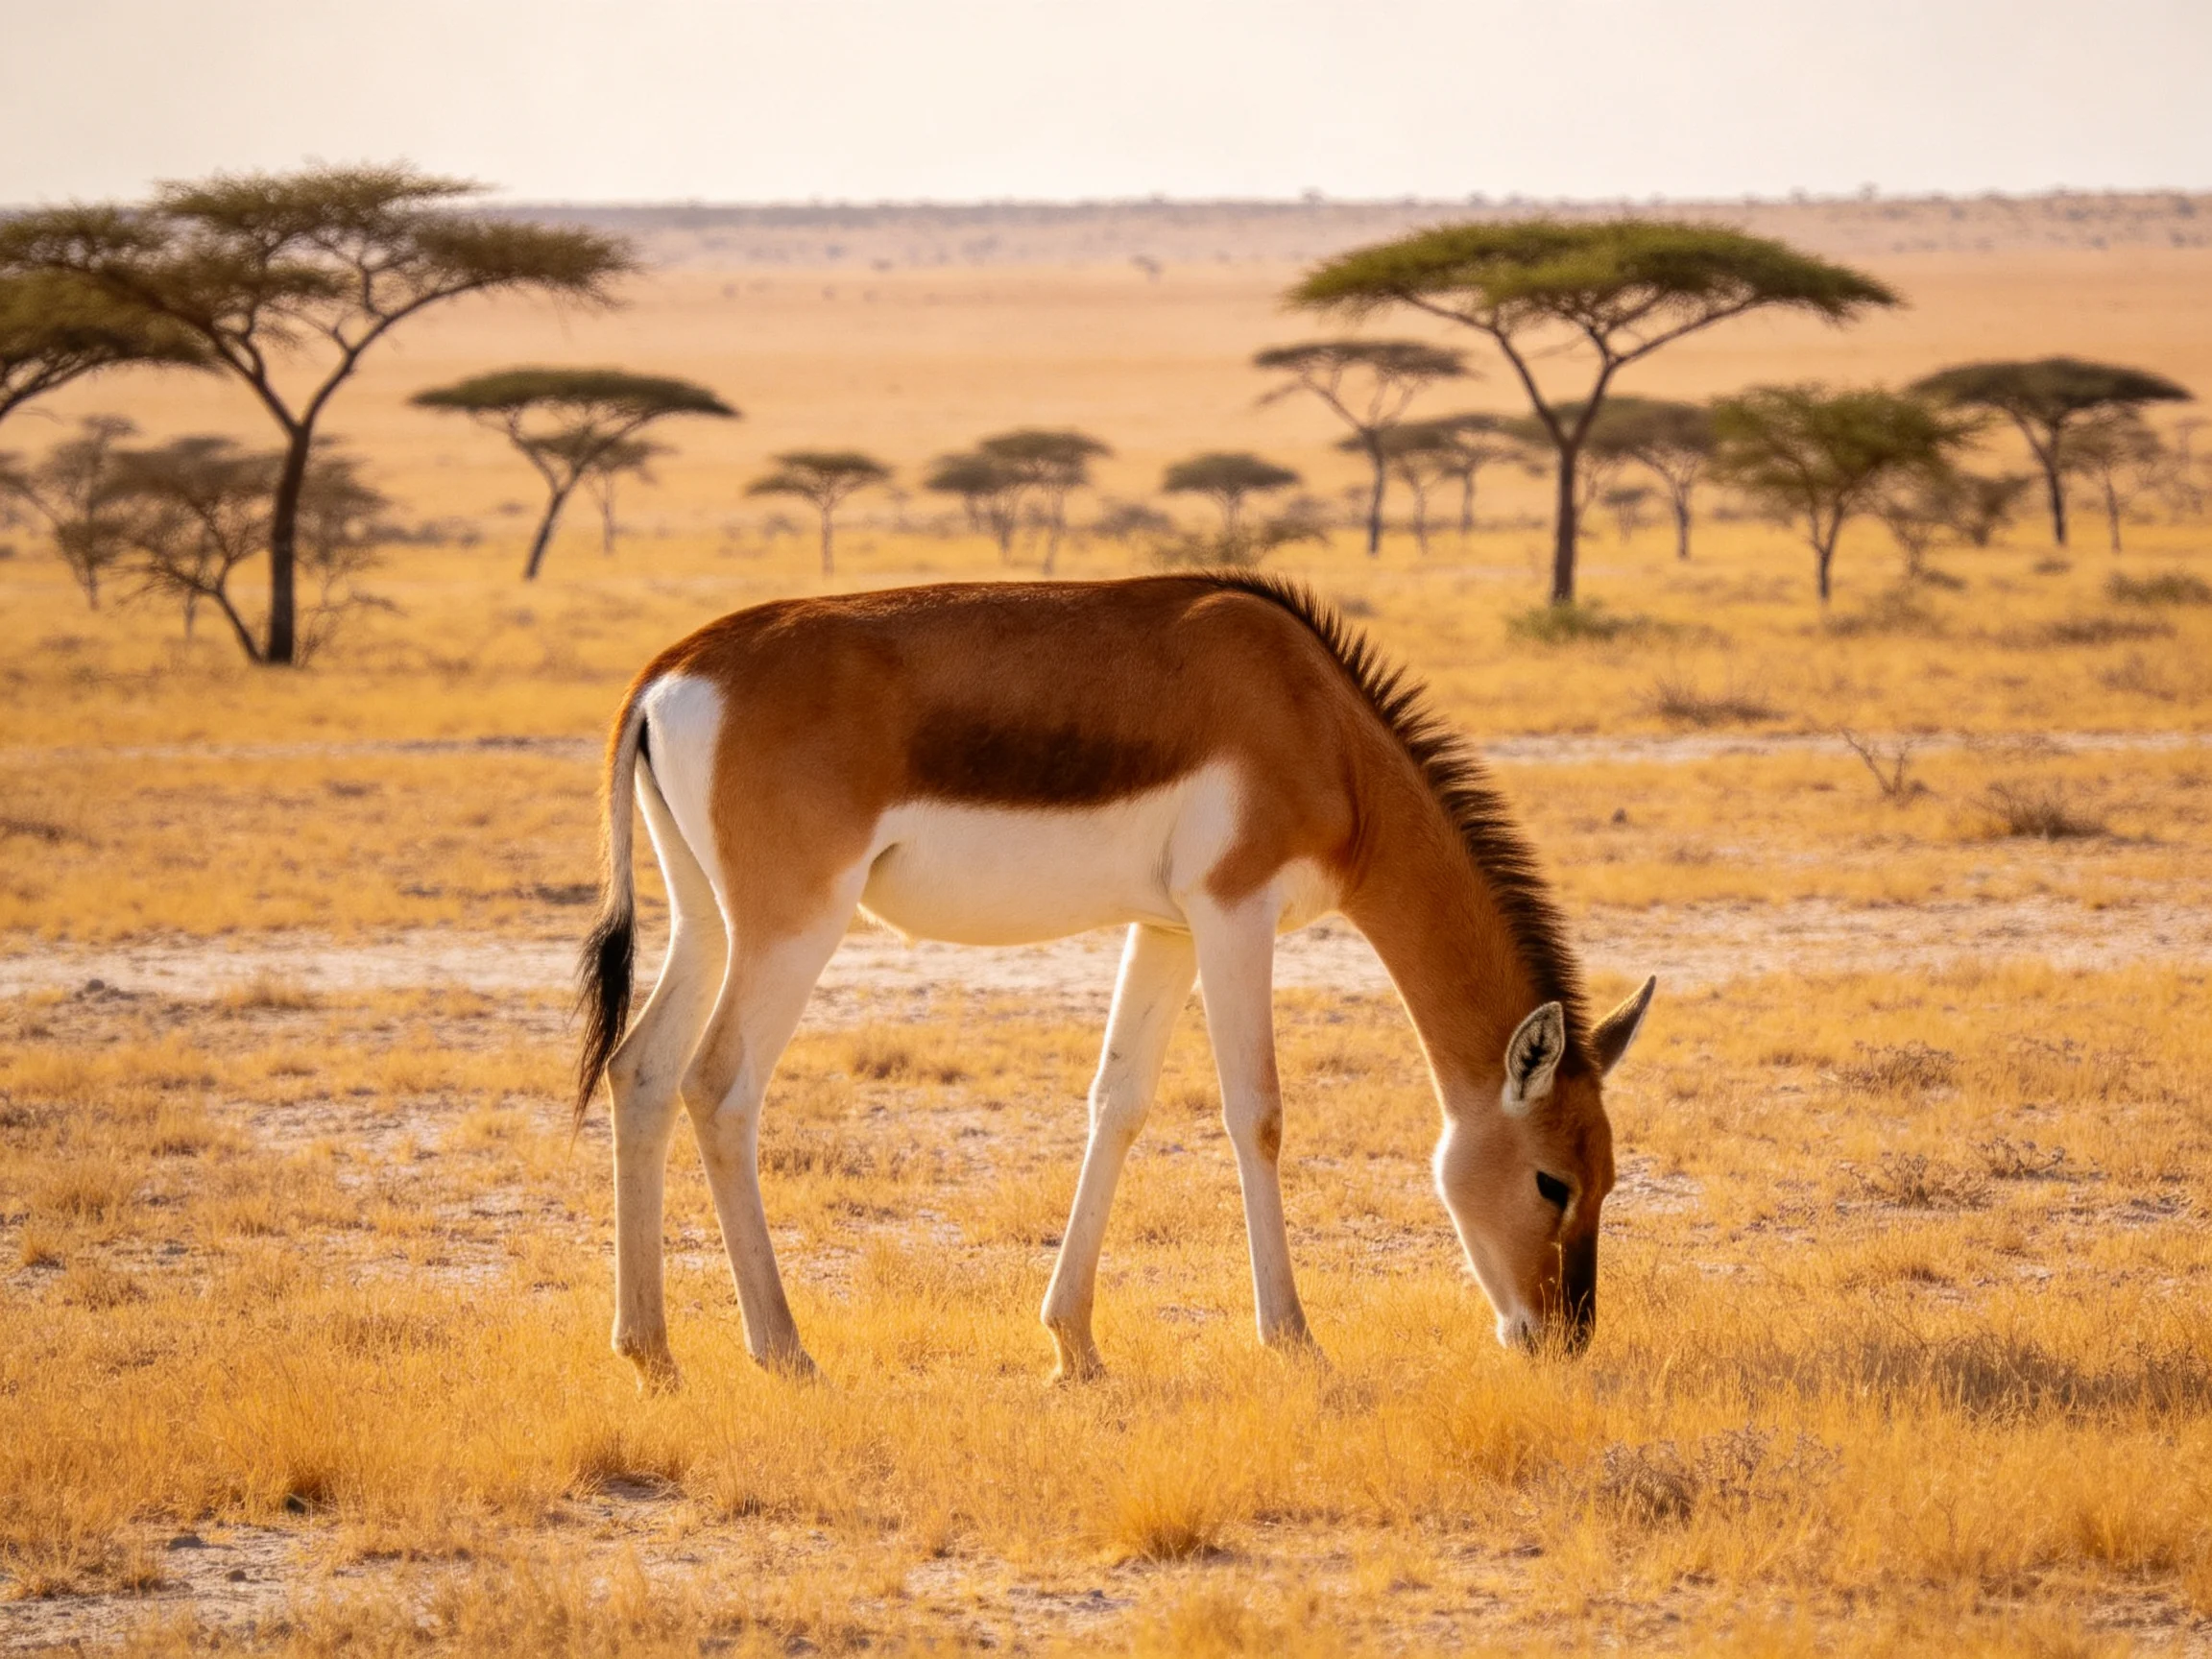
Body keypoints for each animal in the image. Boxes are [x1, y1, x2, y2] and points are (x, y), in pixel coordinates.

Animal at [575, 573, 1653, 1386]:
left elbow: (1118, 1104)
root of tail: (669, 675)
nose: (1562, 1339)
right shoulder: (1232, 913)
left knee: (642, 1070)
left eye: (1608, 1178)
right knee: (719, 1086)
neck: (1311, 712)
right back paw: (787, 1352)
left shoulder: (1164, 928)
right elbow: (1257, 1112)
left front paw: (1076, 1347)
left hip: (708, 924)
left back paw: (651, 1354)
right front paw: (1295, 1341)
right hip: (791, 931)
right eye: (1552, 1180)